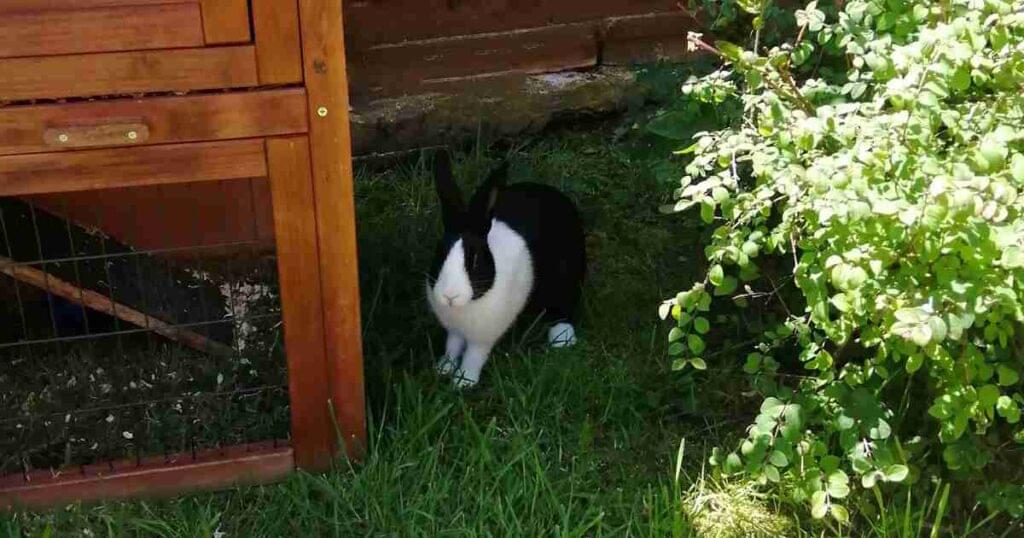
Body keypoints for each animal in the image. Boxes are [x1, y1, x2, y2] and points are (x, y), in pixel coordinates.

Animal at [426, 150, 587, 388]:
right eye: (439, 253)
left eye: (475, 260)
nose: (449, 296)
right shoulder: (455, 331)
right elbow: (453, 346)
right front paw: (443, 368)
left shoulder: (482, 338)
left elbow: (474, 356)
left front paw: (463, 382)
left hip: (566, 276)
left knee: (563, 306)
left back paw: (562, 339)